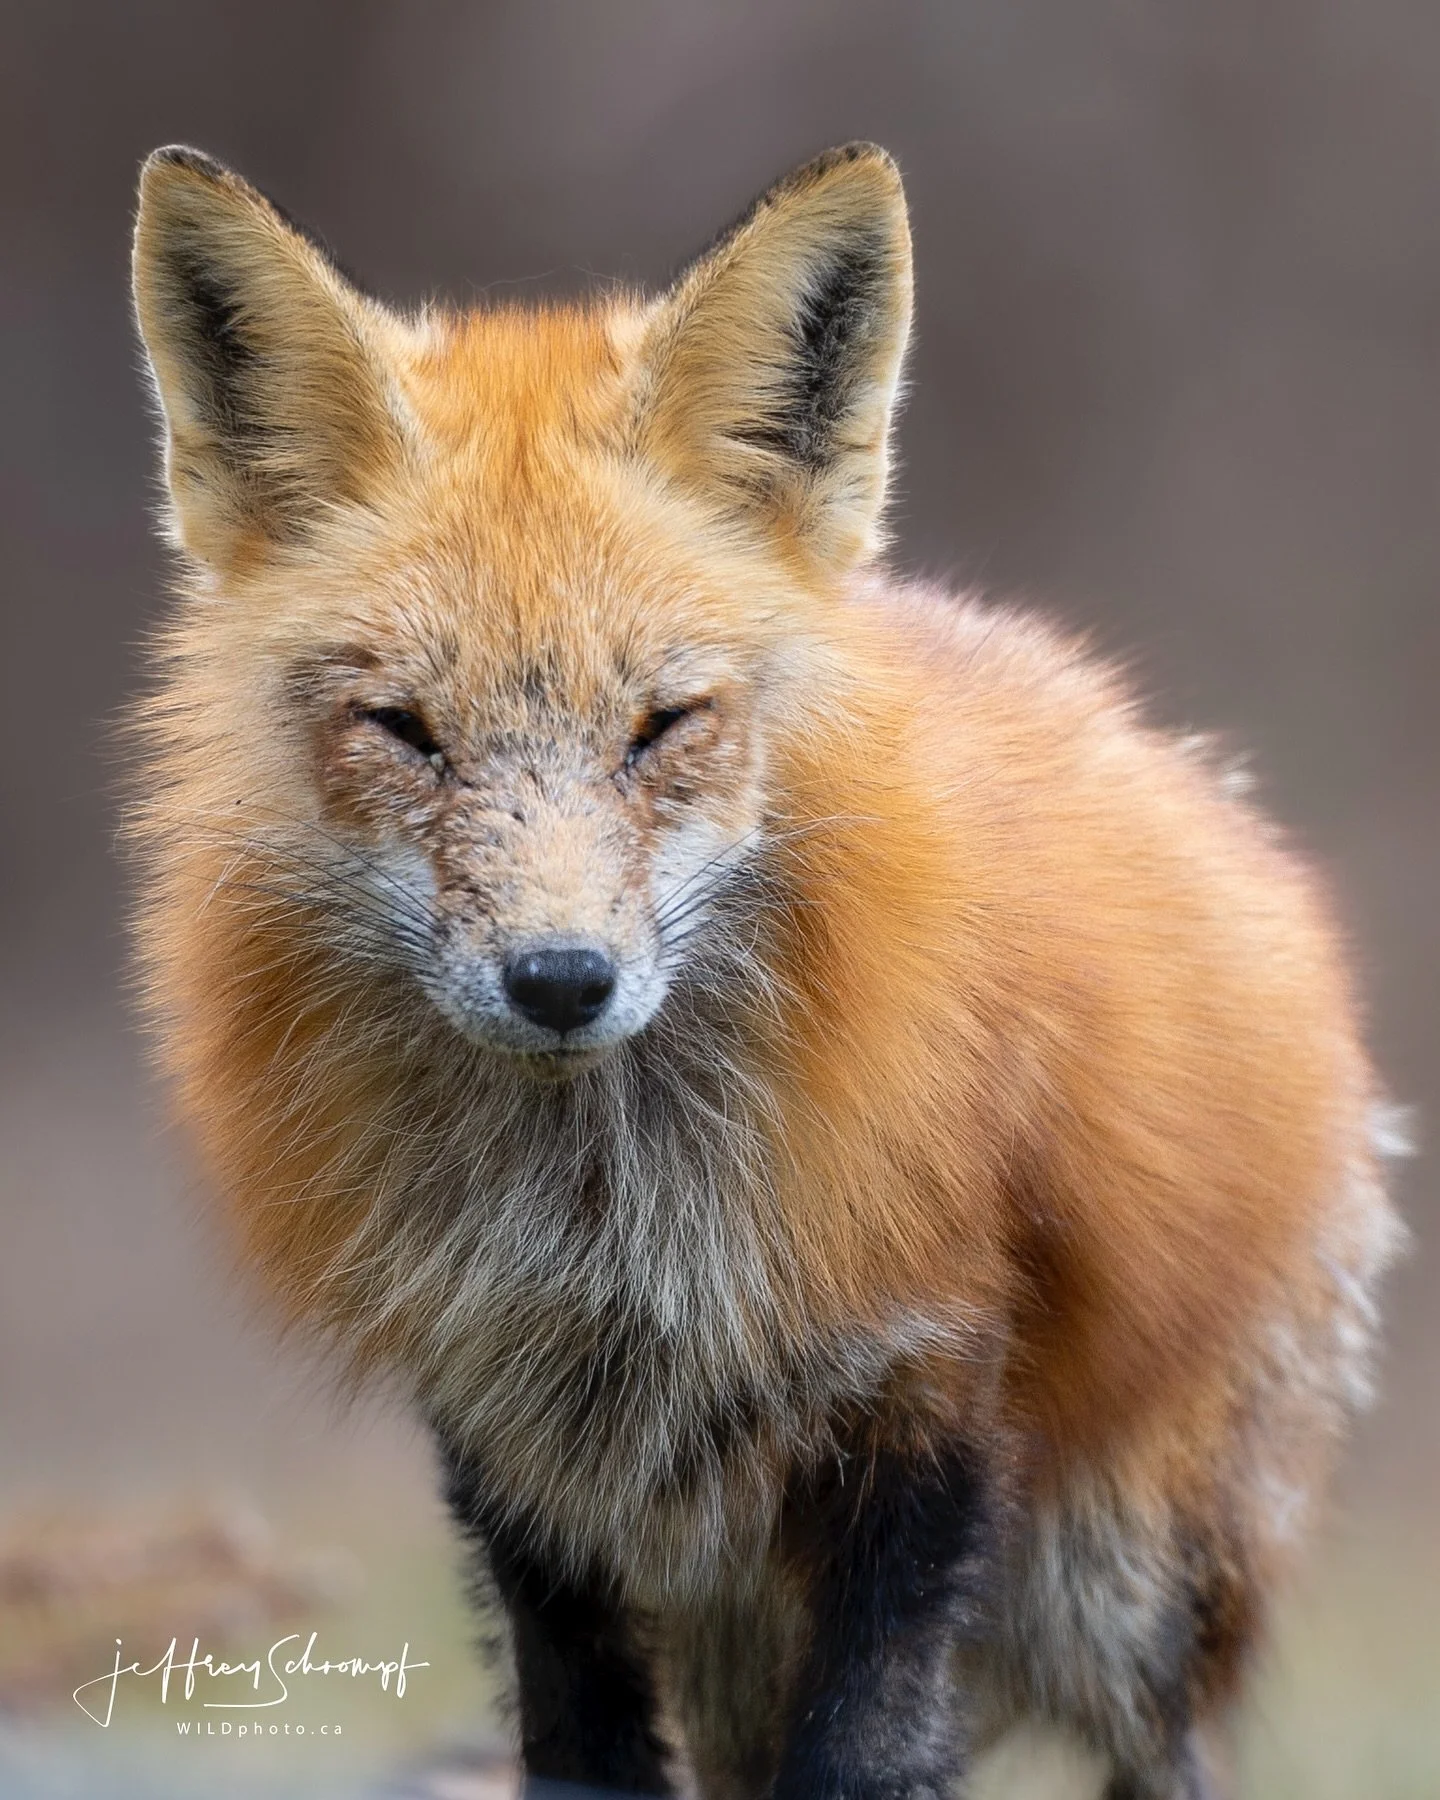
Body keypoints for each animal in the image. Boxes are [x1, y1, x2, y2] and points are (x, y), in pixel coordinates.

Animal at [127, 141, 1404, 1800]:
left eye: (664, 725)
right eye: (405, 731)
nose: (560, 978)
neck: (612, 1237)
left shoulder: (928, 1390)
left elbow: (863, 1753)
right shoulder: (516, 1450)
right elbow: (584, 1752)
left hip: (1126, 1589)